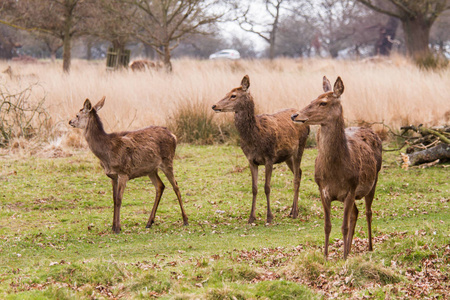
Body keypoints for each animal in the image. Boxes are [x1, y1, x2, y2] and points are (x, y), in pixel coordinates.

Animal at [69, 96, 189, 232]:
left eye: (77, 114)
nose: (70, 121)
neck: (106, 153)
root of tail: (173, 135)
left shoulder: (123, 172)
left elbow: (119, 199)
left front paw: (117, 228)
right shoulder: (113, 176)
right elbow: (114, 199)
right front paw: (113, 226)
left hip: (167, 160)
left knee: (176, 186)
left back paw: (185, 220)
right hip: (151, 169)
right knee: (160, 186)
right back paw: (149, 222)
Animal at [211, 75, 310, 224]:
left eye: (233, 95)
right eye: (227, 92)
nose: (214, 105)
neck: (255, 138)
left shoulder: (270, 157)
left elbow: (267, 187)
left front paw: (269, 217)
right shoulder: (251, 160)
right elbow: (254, 188)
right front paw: (251, 217)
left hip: (301, 146)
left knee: (296, 177)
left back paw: (295, 213)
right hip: (288, 156)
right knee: (299, 172)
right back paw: (292, 210)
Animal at [290, 76, 382, 258]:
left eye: (323, 103)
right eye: (313, 99)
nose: (295, 115)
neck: (335, 172)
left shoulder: (351, 188)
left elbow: (344, 226)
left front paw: (344, 258)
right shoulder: (322, 189)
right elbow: (327, 226)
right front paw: (326, 256)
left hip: (373, 181)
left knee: (368, 212)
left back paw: (369, 247)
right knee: (355, 213)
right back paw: (350, 249)